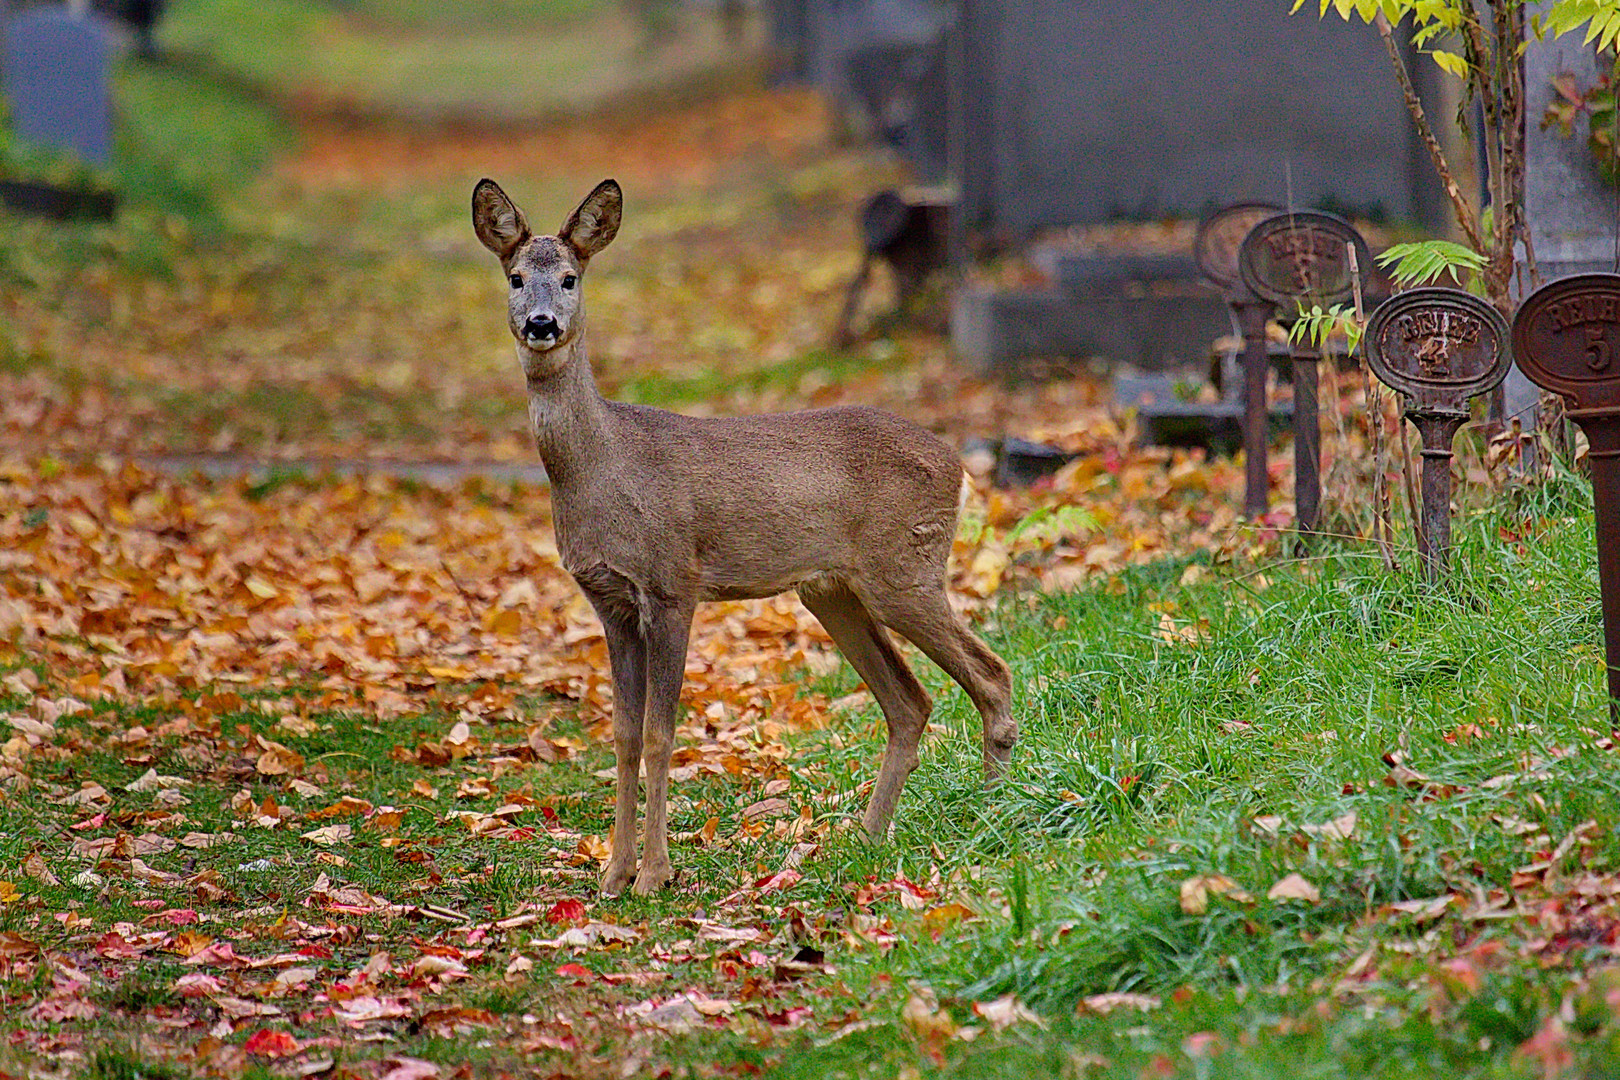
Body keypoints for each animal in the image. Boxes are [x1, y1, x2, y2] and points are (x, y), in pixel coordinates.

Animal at [469, 181, 1010, 900]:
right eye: (515, 277)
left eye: (569, 278)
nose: (540, 324)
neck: (602, 466)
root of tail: (961, 468)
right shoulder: (609, 601)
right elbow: (622, 735)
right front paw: (612, 874)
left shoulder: (673, 581)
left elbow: (660, 734)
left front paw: (654, 875)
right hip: (831, 591)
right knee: (910, 702)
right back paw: (866, 836)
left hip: (905, 566)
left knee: (991, 673)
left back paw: (994, 813)